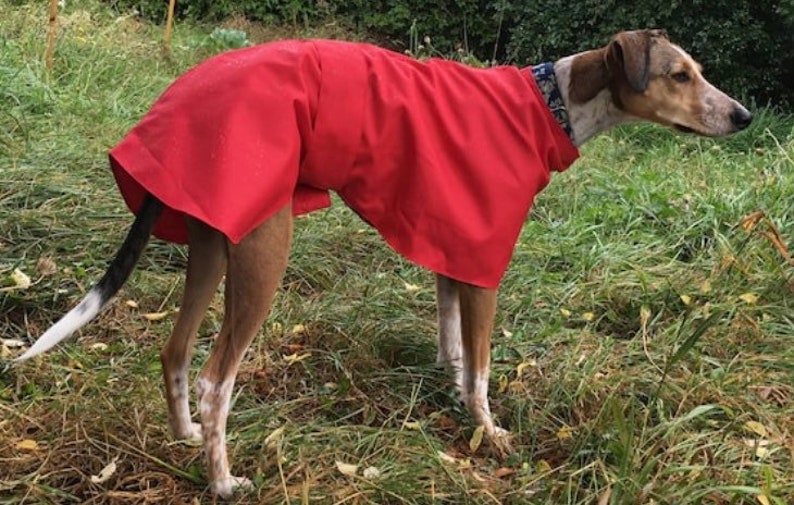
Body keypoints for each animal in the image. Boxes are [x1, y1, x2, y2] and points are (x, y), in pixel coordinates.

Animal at [13, 28, 748, 496]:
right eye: (681, 75)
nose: (744, 116)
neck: (551, 102)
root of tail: (177, 99)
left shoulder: (453, 253)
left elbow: (455, 354)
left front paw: (454, 403)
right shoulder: (484, 268)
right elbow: (483, 370)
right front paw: (490, 434)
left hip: (213, 242)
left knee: (174, 355)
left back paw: (186, 437)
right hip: (264, 254)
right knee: (216, 381)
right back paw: (221, 479)